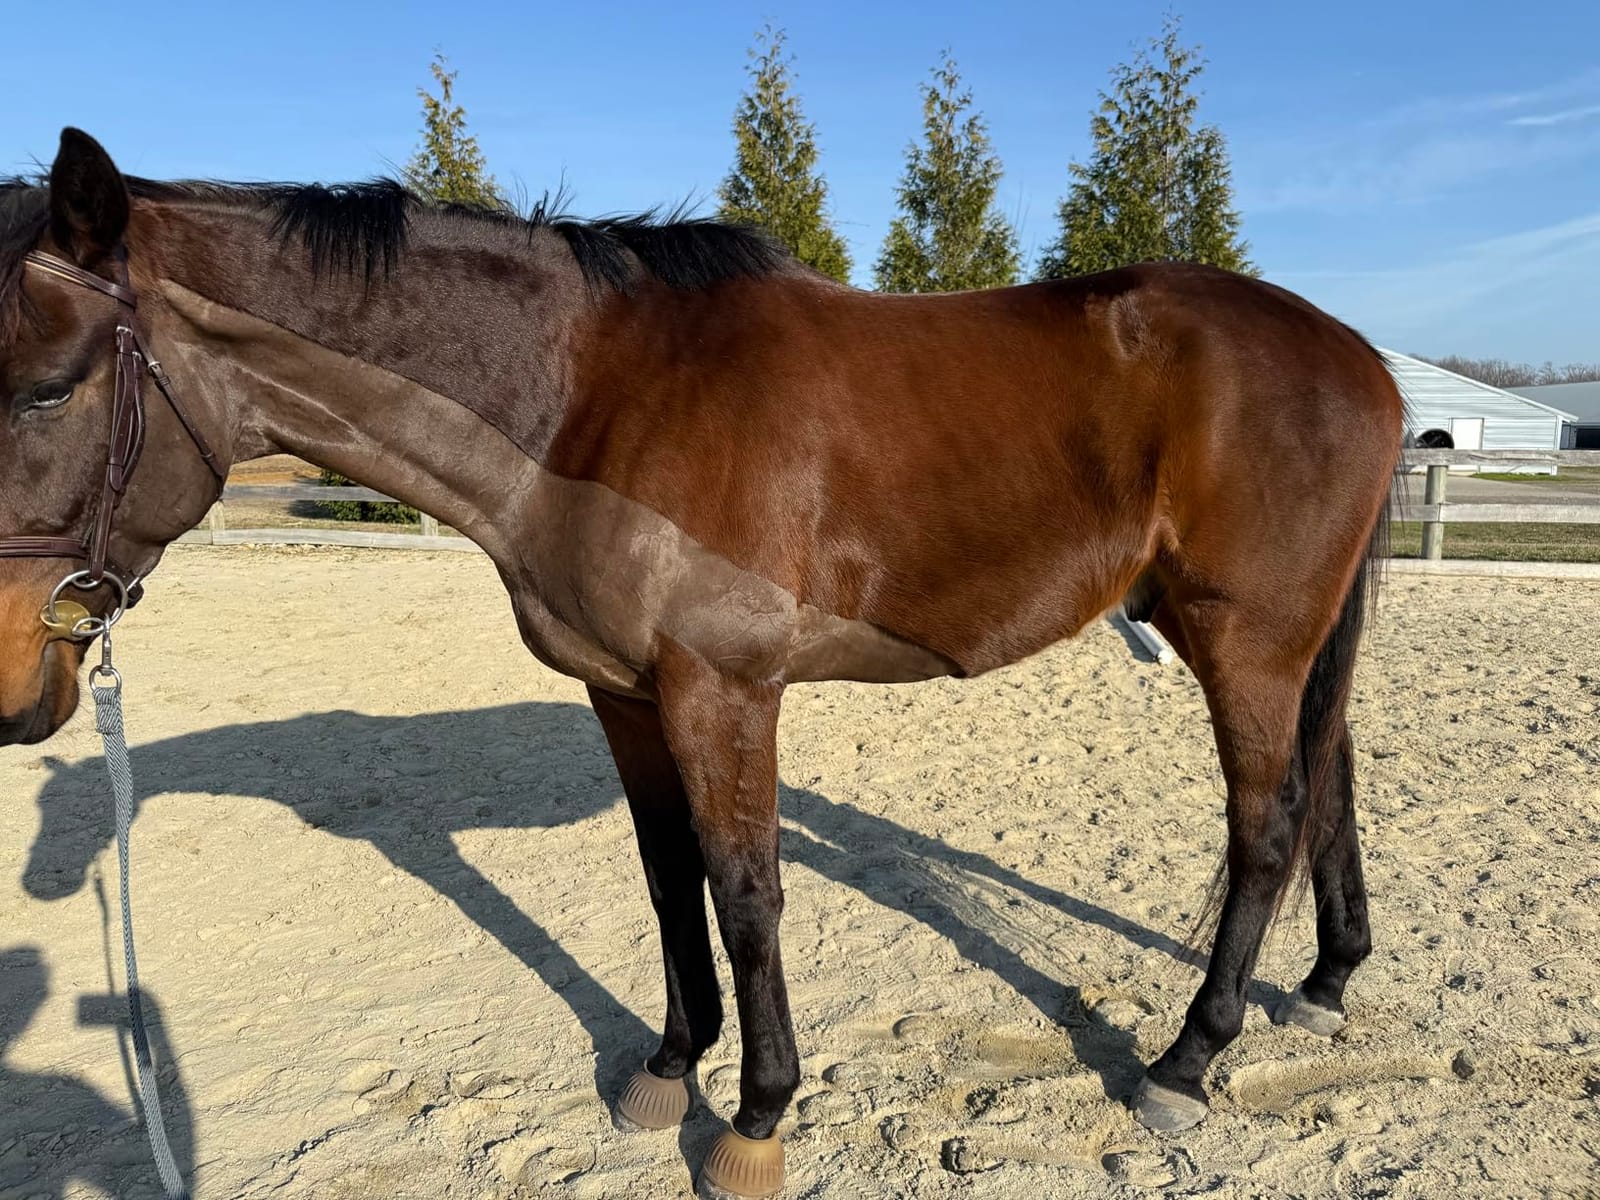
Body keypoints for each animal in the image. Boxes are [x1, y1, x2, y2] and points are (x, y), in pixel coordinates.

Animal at [0, 129, 1401, 1197]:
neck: (594, 390)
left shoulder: (722, 691)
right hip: (1290, 645)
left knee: (1266, 823)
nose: (21, 692)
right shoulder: (624, 693)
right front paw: (670, 1070)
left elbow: (746, 892)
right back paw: (1325, 984)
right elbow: (670, 878)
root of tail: (1364, 359)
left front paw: (756, 1118)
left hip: (1243, 640)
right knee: (1329, 786)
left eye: (38, 389)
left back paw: (1184, 1064)